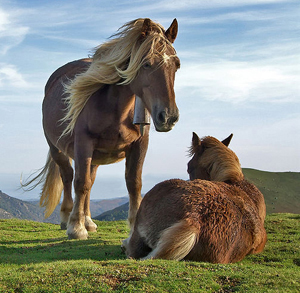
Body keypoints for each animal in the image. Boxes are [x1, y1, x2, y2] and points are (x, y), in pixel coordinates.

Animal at [22, 18, 180, 238]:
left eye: (176, 65)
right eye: (146, 64)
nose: (168, 117)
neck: (116, 108)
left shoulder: (140, 144)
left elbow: (134, 184)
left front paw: (133, 228)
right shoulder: (83, 143)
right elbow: (80, 182)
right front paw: (76, 227)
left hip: (96, 156)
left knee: (90, 180)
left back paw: (88, 220)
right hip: (57, 149)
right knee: (68, 176)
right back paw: (67, 217)